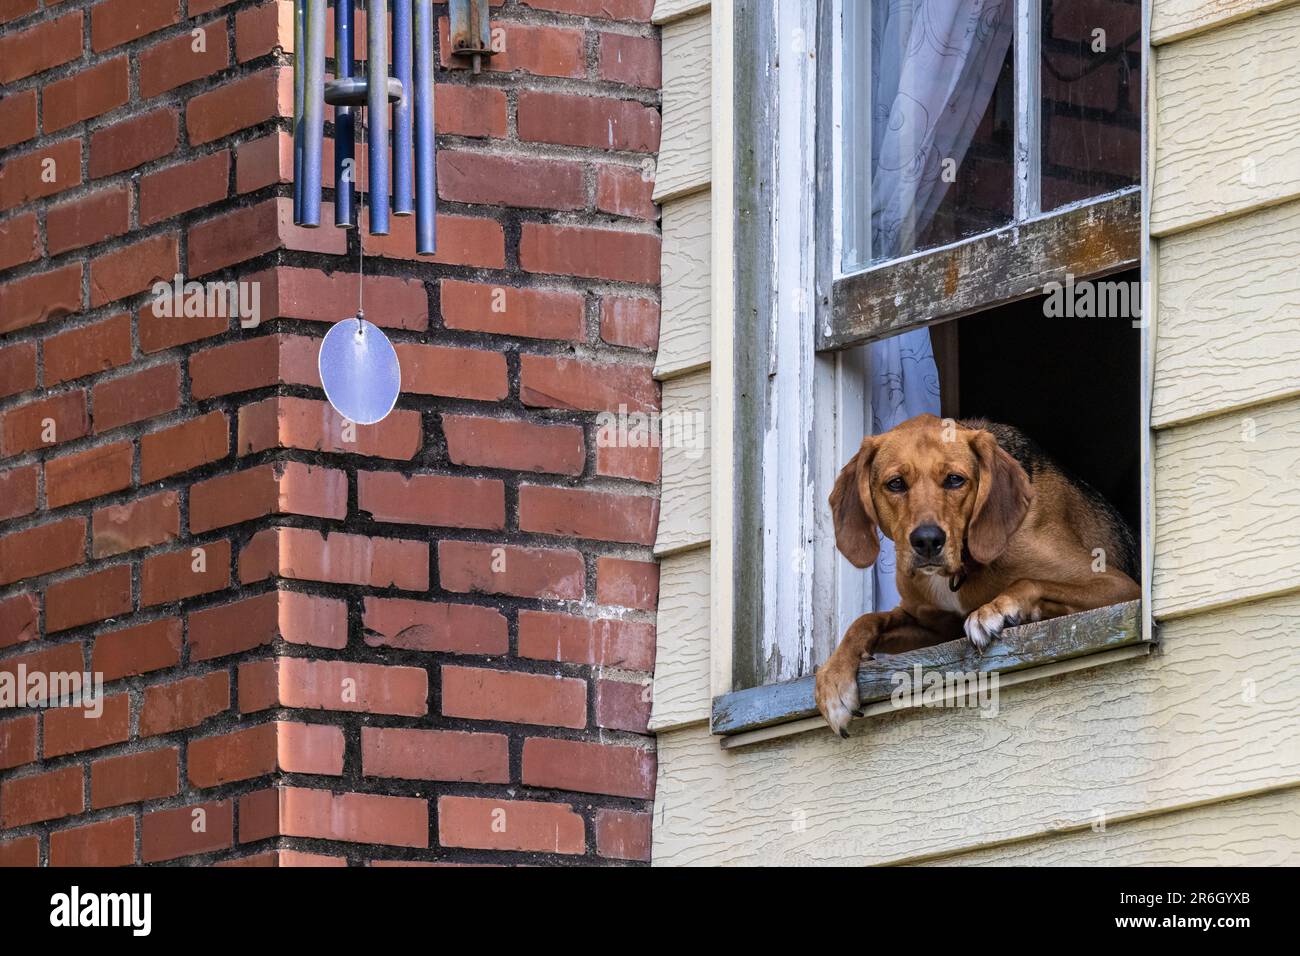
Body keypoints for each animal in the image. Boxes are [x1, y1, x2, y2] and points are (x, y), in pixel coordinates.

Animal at [816, 416, 1144, 738]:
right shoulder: (935, 629)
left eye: (955, 479)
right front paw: (833, 677)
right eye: (896, 484)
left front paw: (996, 609)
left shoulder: (1118, 586)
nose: (927, 540)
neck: (960, 570)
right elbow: (867, 620)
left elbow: (1028, 581)